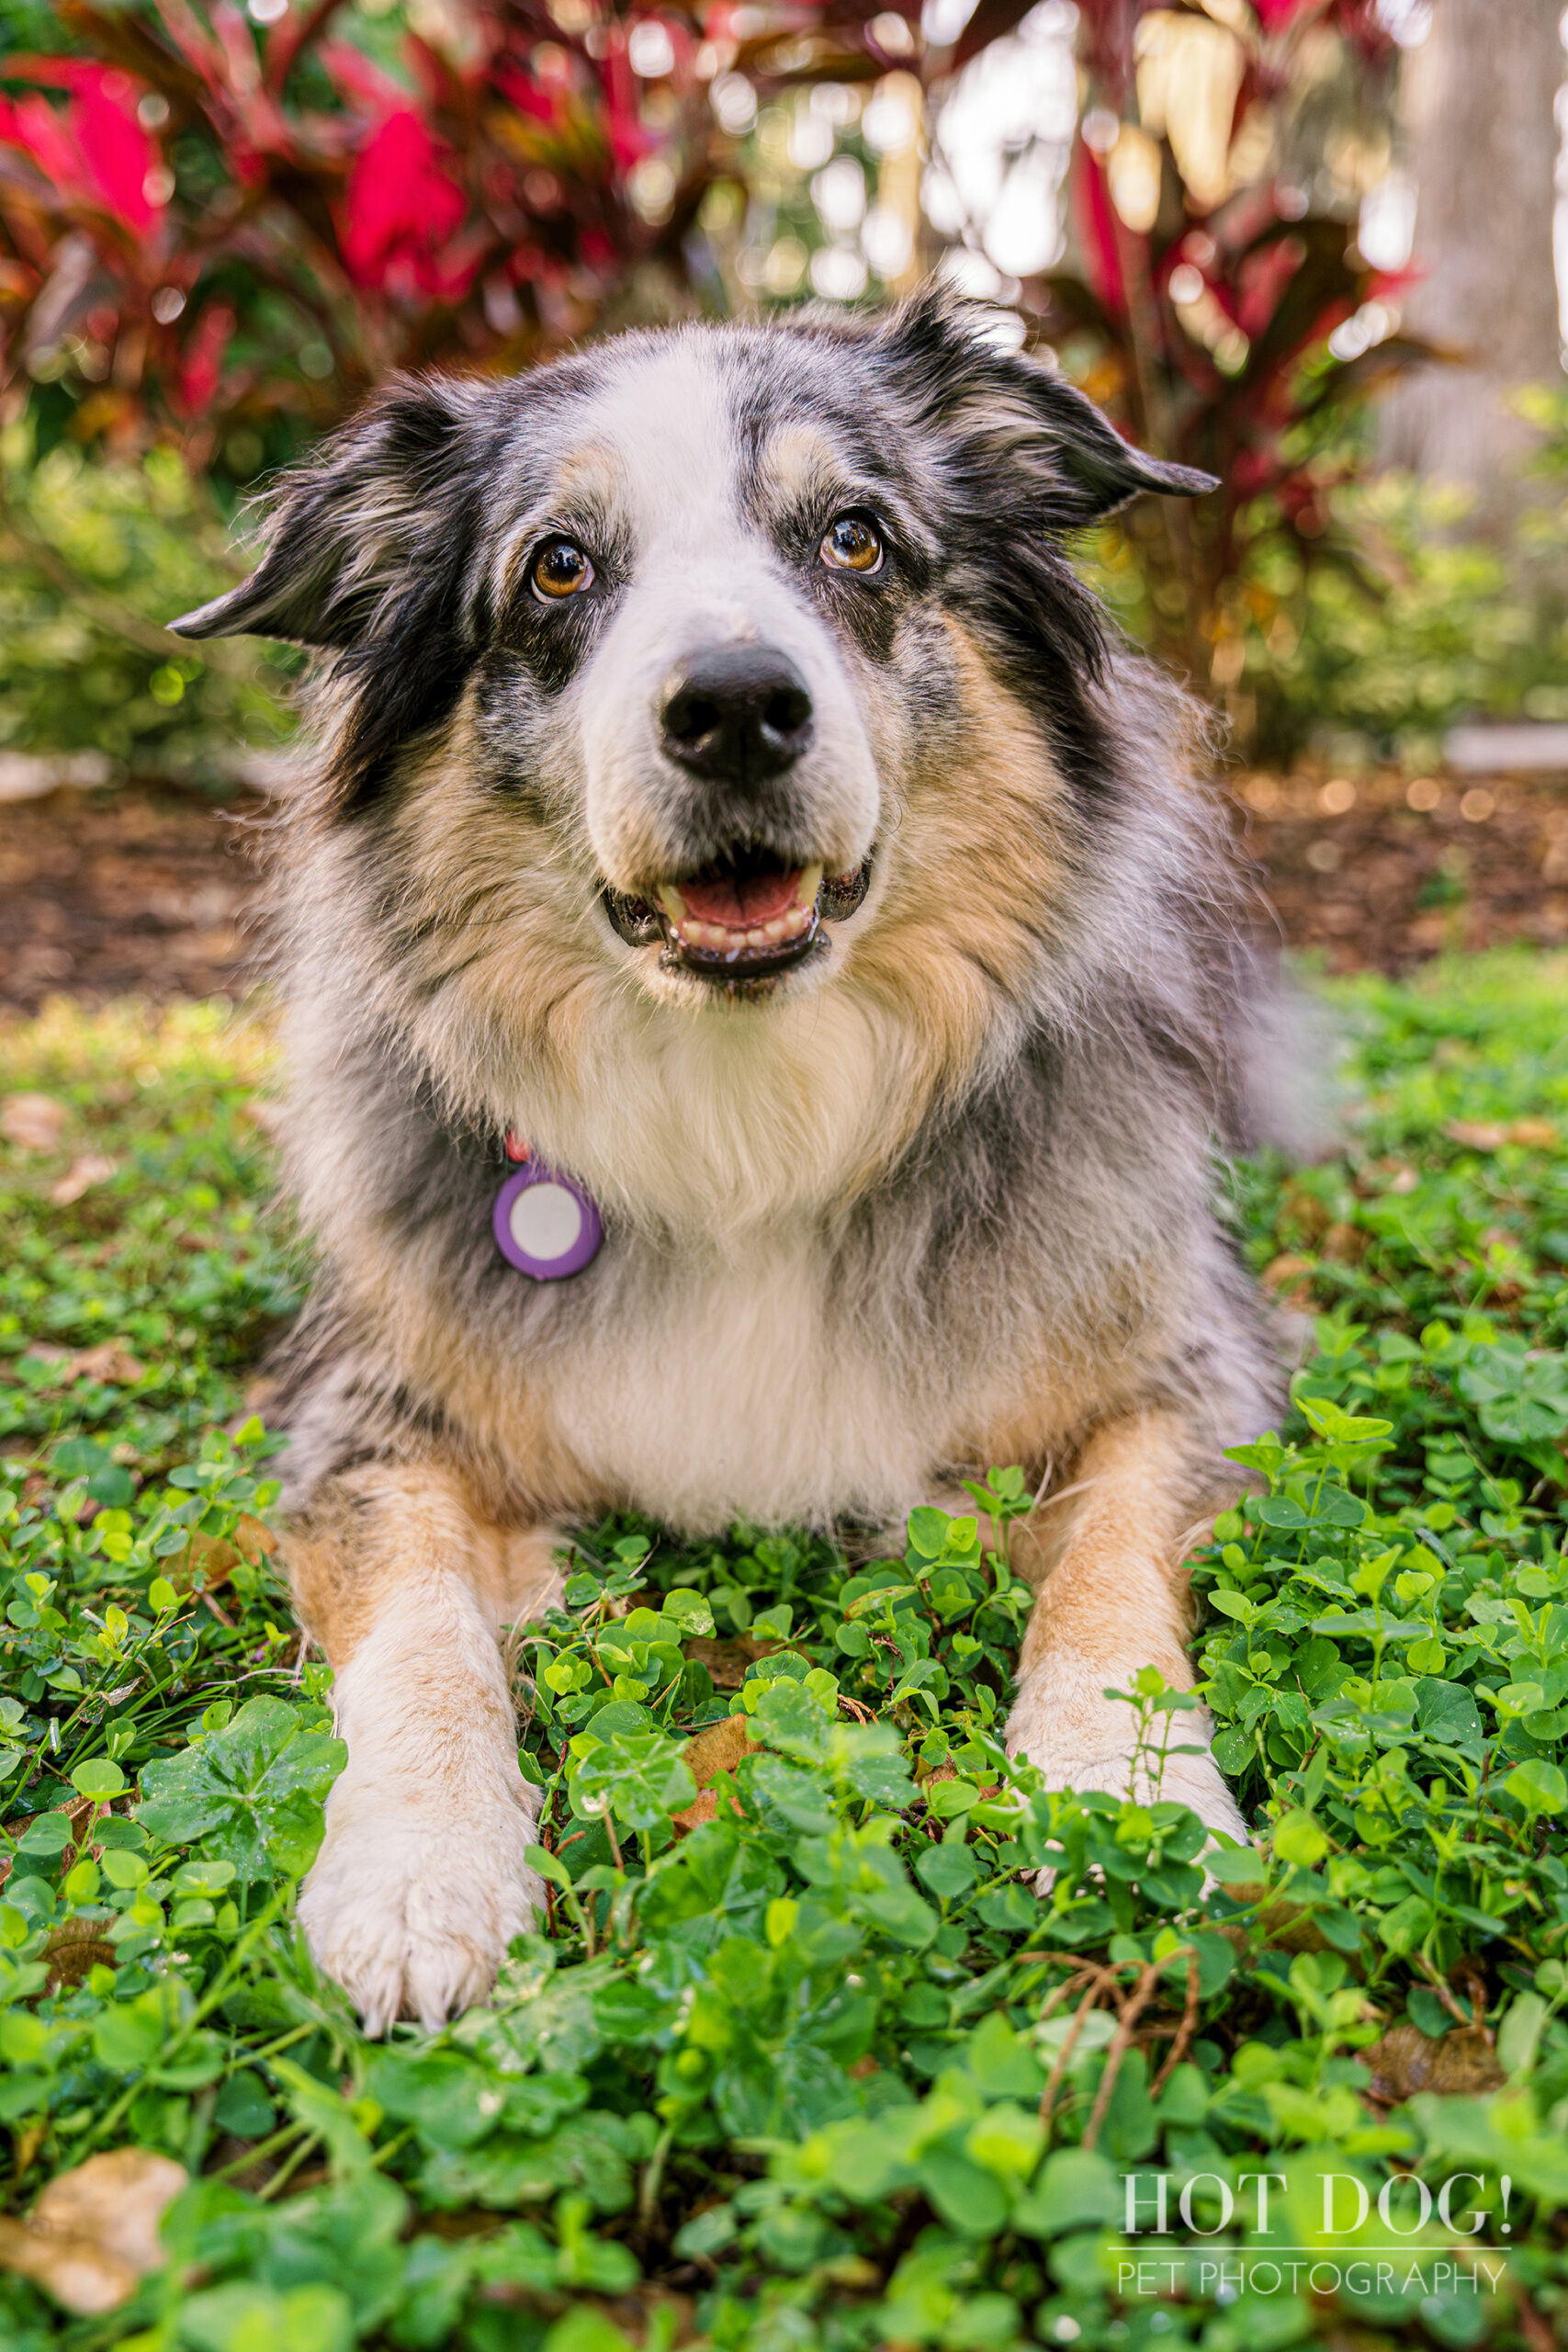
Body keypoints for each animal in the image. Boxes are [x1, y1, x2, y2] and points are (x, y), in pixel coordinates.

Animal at [175, 284, 1297, 2031]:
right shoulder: (360, 1415)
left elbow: (1110, 1573)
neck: (748, 1107)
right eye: (557, 567)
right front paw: (418, 1867)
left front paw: (1123, 1792)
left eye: (854, 537)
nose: (735, 709)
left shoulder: (1189, 1369)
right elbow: (420, 1623)